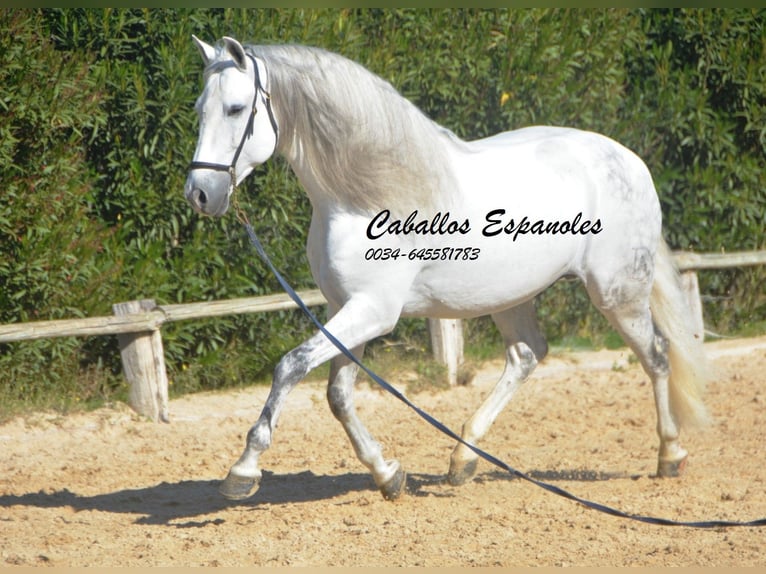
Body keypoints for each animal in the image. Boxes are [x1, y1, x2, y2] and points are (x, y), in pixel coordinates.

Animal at [183, 37, 712, 504]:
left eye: (235, 109)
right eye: (199, 109)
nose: (201, 194)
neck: (362, 197)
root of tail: (627, 159)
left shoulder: (373, 311)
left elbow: (290, 367)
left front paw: (242, 471)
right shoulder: (344, 308)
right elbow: (337, 396)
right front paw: (388, 475)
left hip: (618, 292)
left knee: (656, 355)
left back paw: (670, 456)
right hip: (513, 296)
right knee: (527, 356)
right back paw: (463, 460)